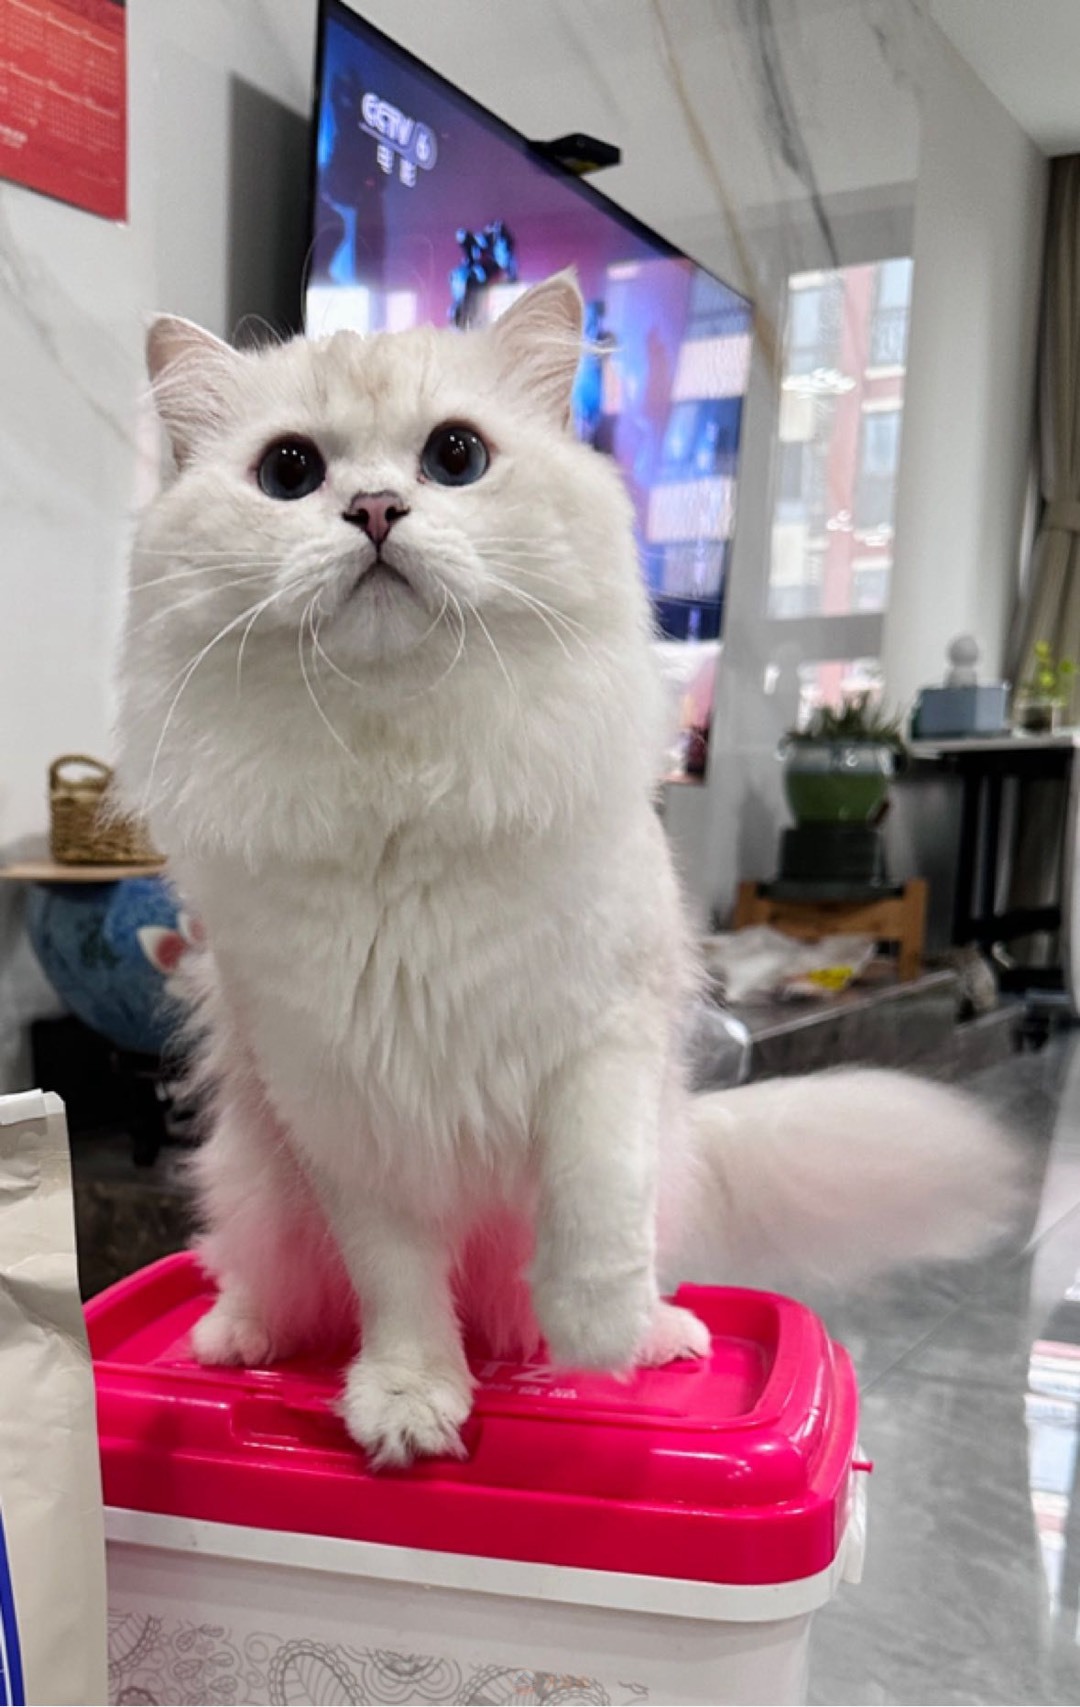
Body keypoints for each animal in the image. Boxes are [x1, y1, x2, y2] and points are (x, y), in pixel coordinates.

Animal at [115, 272, 1016, 1467]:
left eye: (455, 456)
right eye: (290, 474)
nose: (375, 511)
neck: (403, 783)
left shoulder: (604, 1041)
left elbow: (596, 1203)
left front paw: (598, 1334)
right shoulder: (343, 1102)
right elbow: (399, 1286)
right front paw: (409, 1405)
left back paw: (653, 1333)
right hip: (254, 1177)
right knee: (268, 1279)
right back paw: (234, 1338)